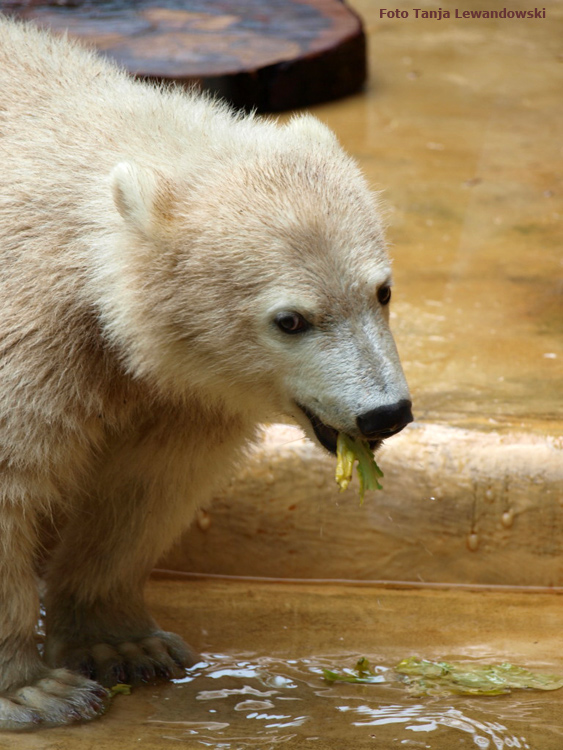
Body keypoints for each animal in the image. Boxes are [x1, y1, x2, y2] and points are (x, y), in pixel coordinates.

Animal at [0, 16, 412, 728]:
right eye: (291, 320)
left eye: (381, 291)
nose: (386, 412)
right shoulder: (33, 335)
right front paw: (36, 691)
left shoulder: (179, 390)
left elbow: (147, 482)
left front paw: (125, 647)